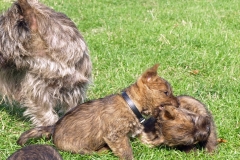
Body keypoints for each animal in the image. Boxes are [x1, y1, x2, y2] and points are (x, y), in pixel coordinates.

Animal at [16, 64, 178, 159]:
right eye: (166, 92)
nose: (177, 104)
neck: (131, 104)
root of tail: (54, 127)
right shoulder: (115, 136)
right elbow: (127, 152)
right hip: (79, 148)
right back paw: (103, 150)